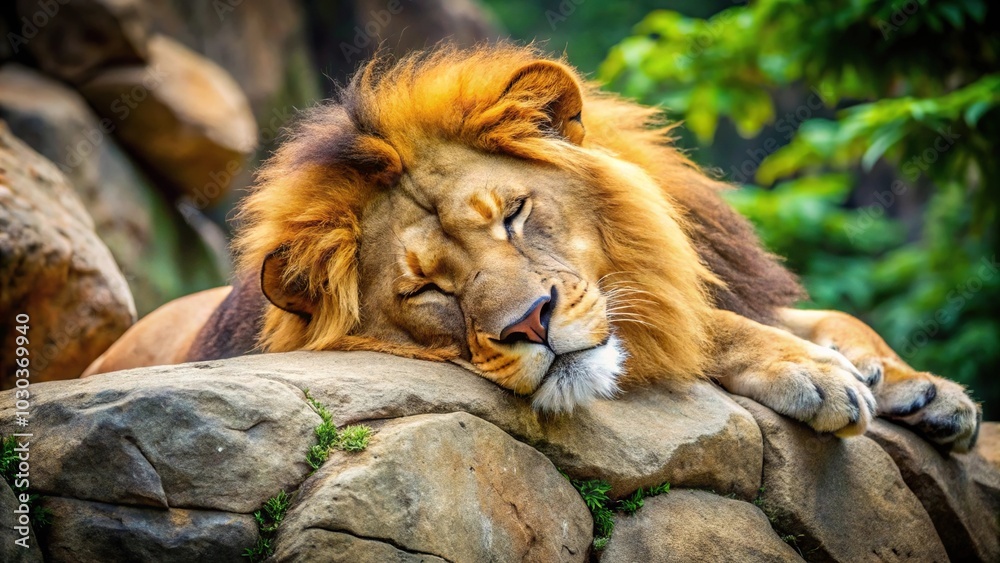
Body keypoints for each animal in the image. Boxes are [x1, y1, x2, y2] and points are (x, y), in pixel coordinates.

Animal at [85, 44, 980, 452]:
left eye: (514, 214)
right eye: (429, 291)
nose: (530, 325)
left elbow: (833, 315)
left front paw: (923, 386)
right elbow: (699, 326)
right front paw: (817, 372)